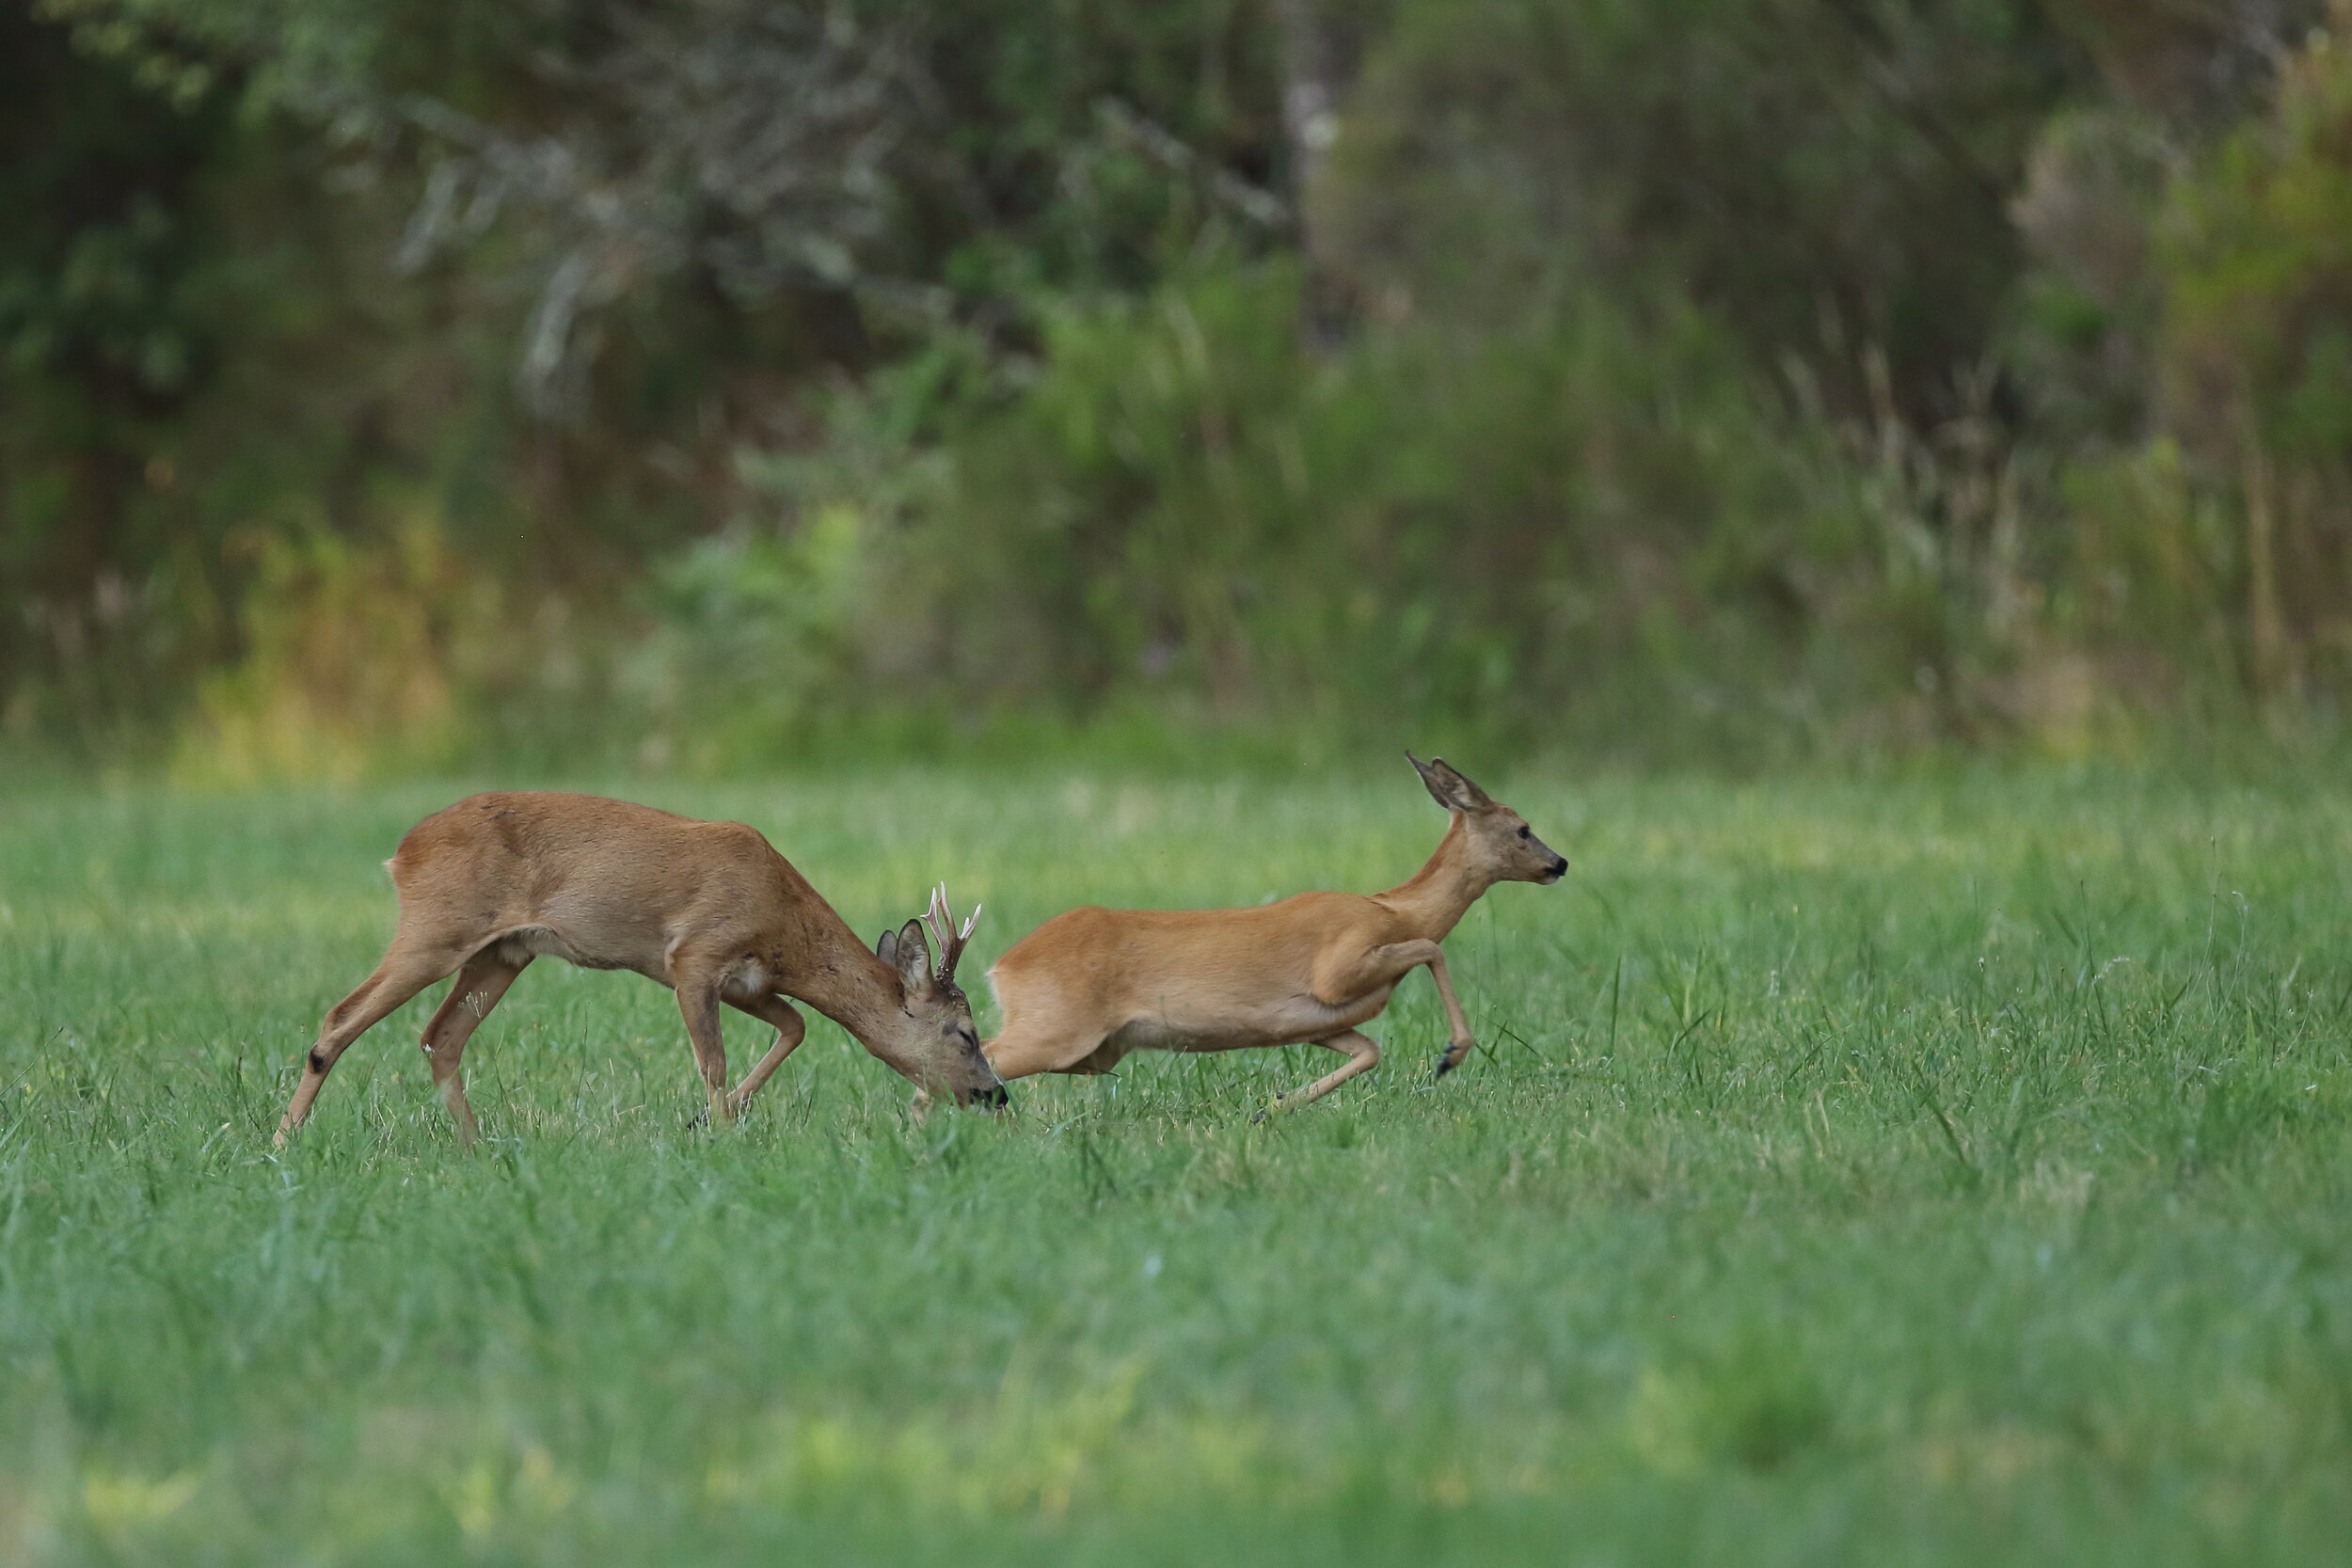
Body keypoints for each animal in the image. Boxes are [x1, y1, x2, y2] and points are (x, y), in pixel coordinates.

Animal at [275, 799, 1002, 1142]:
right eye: (965, 1033)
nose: (996, 1094)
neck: (781, 923)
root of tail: (402, 852)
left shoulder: (748, 980)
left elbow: (795, 1027)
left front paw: (707, 1122)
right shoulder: (692, 956)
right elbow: (714, 1061)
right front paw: (721, 1134)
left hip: (503, 951)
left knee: (440, 1036)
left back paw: (476, 1148)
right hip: (438, 927)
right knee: (341, 1017)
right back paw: (283, 1143)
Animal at [983, 752, 1571, 1109]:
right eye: (1523, 828)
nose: (1560, 863)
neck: (1395, 909)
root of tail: (1002, 966)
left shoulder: (1314, 1021)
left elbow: (1369, 1051)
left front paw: (1273, 1108)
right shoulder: (1339, 966)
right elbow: (1431, 948)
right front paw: (1451, 1055)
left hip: (1088, 1050)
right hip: (1058, 1026)